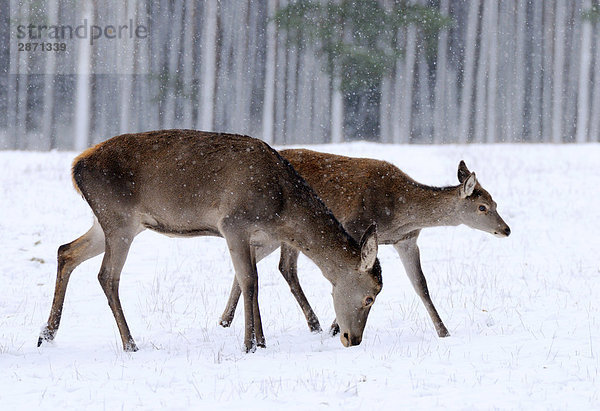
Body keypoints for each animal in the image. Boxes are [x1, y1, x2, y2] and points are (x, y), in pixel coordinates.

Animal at [37, 130, 382, 352]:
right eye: (370, 297)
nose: (353, 339)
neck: (282, 207)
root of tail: (76, 167)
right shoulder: (233, 223)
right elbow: (250, 280)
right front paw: (250, 344)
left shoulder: (256, 236)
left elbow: (249, 280)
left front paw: (261, 341)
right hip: (118, 218)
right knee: (107, 275)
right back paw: (130, 343)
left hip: (110, 222)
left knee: (66, 251)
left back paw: (47, 334)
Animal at [220, 150, 510, 340]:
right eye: (482, 207)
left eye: (496, 202)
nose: (506, 229)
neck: (399, 214)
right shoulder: (354, 227)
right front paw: (336, 326)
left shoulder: (407, 241)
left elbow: (421, 285)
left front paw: (443, 330)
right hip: (274, 230)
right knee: (278, 266)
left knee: (271, 265)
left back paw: (227, 320)